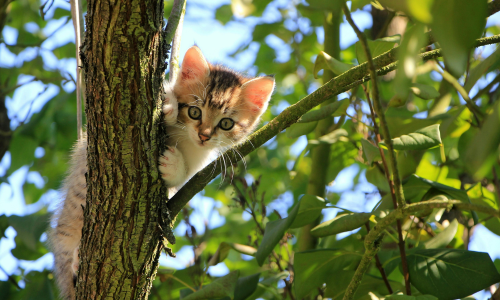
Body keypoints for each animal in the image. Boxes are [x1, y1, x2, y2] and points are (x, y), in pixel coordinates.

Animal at [49, 45, 276, 298]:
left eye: (226, 123)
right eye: (195, 112)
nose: (204, 136)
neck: (184, 138)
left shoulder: (197, 163)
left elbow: (183, 177)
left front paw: (173, 164)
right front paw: (169, 103)